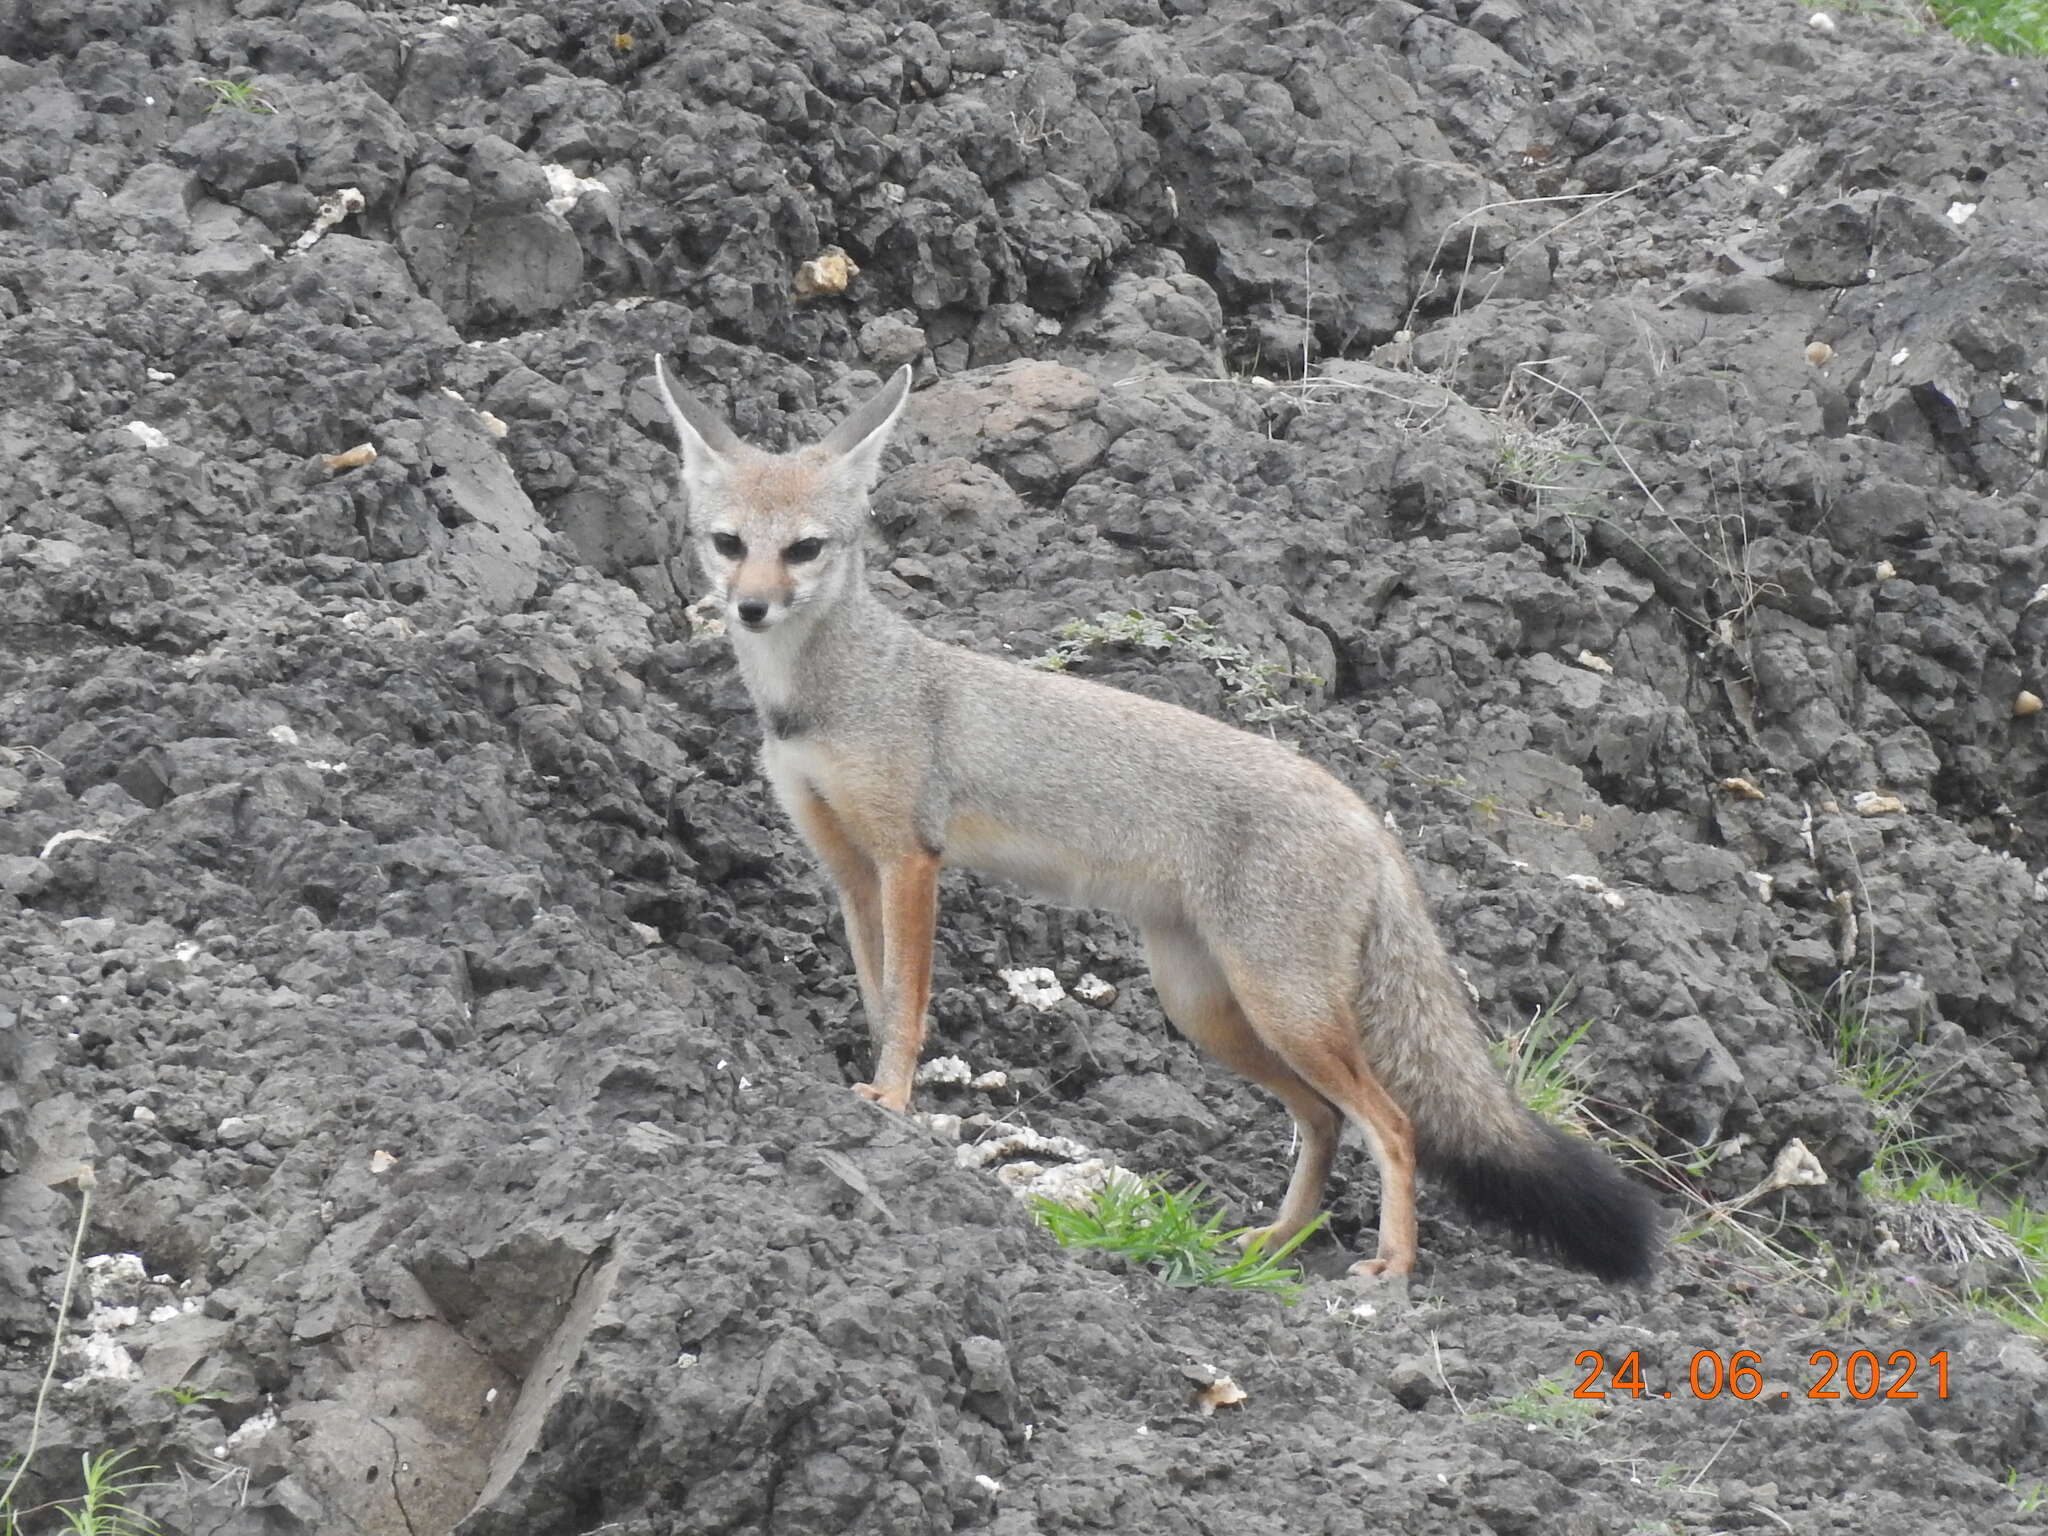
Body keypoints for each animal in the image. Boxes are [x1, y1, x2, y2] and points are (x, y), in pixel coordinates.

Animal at [655, 360, 1662, 1286]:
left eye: (805, 550)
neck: (820, 694)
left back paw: (1390, 1268)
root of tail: (1360, 811)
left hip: (1282, 1009)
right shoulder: (851, 868)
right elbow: (878, 998)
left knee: (1396, 1123)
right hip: (1210, 1010)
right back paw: (1275, 1242)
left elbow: (907, 1006)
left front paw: (895, 1101)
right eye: (728, 542)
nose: (749, 606)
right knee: (1325, 1120)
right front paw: (873, 1093)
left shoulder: (912, 857)